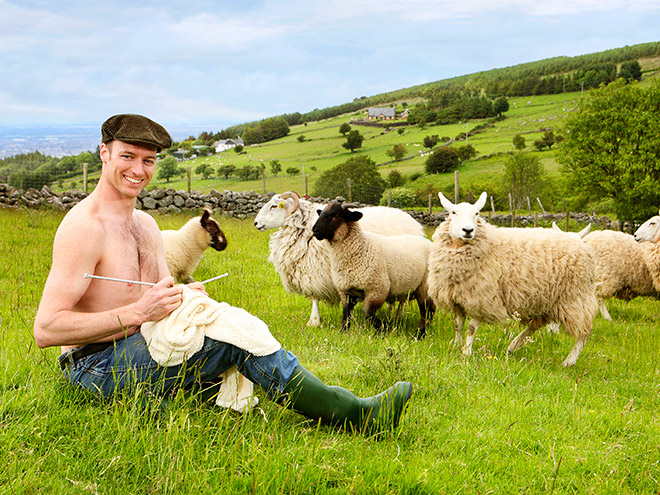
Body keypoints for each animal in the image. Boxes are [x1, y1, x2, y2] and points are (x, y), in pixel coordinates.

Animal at [255, 192, 426, 328]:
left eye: (274, 206)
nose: (256, 223)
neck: (303, 227)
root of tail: (411, 220)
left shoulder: (314, 271)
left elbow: (314, 297)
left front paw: (314, 321)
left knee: (403, 299)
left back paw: (398, 317)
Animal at [314, 202, 436, 338]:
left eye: (336, 215)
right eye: (321, 213)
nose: (315, 230)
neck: (361, 247)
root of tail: (429, 243)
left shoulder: (377, 289)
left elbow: (368, 313)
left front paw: (384, 328)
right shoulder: (346, 290)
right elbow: (346, 313)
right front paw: (344, 331)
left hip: (425, 287)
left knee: (426, 311)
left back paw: (420, 333)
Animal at [428, 192, 600, 366]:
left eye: (476, 213)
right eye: (453, 212)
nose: (468, 230)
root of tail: (580, 242)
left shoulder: (485, 300)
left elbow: (471, 328)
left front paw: (466, 353)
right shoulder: (458, 297)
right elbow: (458, 325)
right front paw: (455, 346)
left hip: (574, 298)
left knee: (584, 333)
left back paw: (569, 361)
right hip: (546, 301)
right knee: (535, 325)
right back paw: (513, 346)